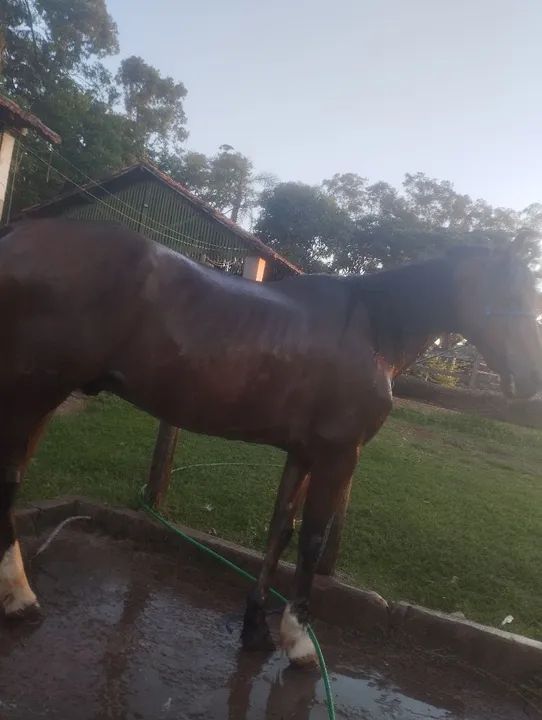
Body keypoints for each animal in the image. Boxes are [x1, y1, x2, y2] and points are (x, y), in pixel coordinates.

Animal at [0, 219, 540, 667]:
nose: (530, 376)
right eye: (510, 289)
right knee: (9, 482)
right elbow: (312, 540)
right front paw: (298, 641)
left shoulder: (302, 453)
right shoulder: (338, 455)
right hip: (32, 395)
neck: (372, 330)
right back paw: (21, 598)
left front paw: (256, 628)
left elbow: (280, 529)